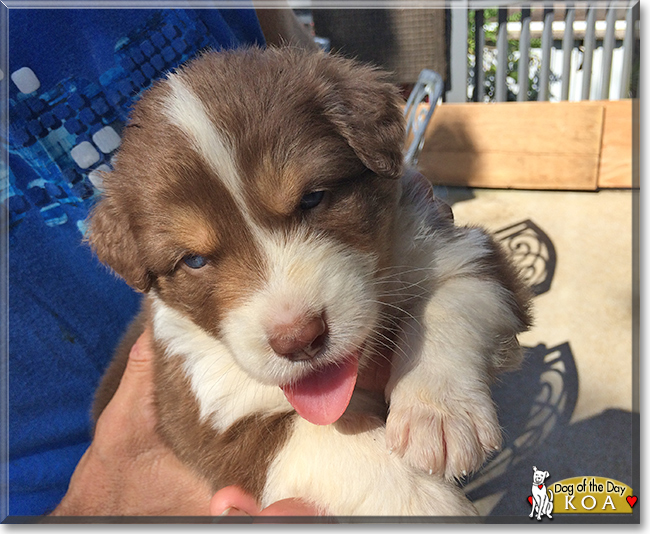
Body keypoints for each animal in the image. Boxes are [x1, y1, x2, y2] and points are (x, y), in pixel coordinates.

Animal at [87, 48, 532, 516]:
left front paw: (439, 415)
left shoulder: (461, 251)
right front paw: (427, 504)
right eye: (194, 260)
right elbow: (321, 441)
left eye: (313, 198)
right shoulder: (203, 412)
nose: (298, 339)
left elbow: (452, 307)